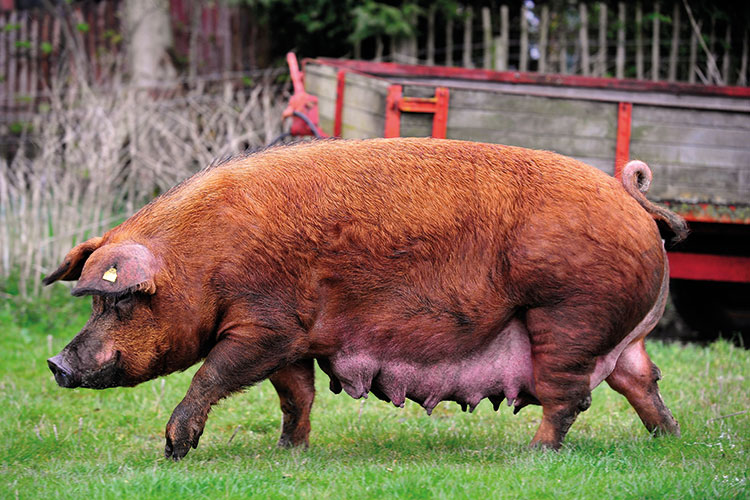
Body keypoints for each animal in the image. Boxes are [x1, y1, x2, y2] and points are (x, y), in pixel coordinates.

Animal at [44, 138, 686, 460]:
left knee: (567, 399)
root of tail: (632, 201)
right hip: (616, 332)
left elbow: (213, 375)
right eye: (95, 301)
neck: (203, 264)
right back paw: (671, 440)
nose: (55, 363)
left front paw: (175, 450)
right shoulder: (295, 337)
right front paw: (289, 452)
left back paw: (532, 454)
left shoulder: (266, 326)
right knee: (640, 380)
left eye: (117, 302)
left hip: (568, 315)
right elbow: (295, 396)